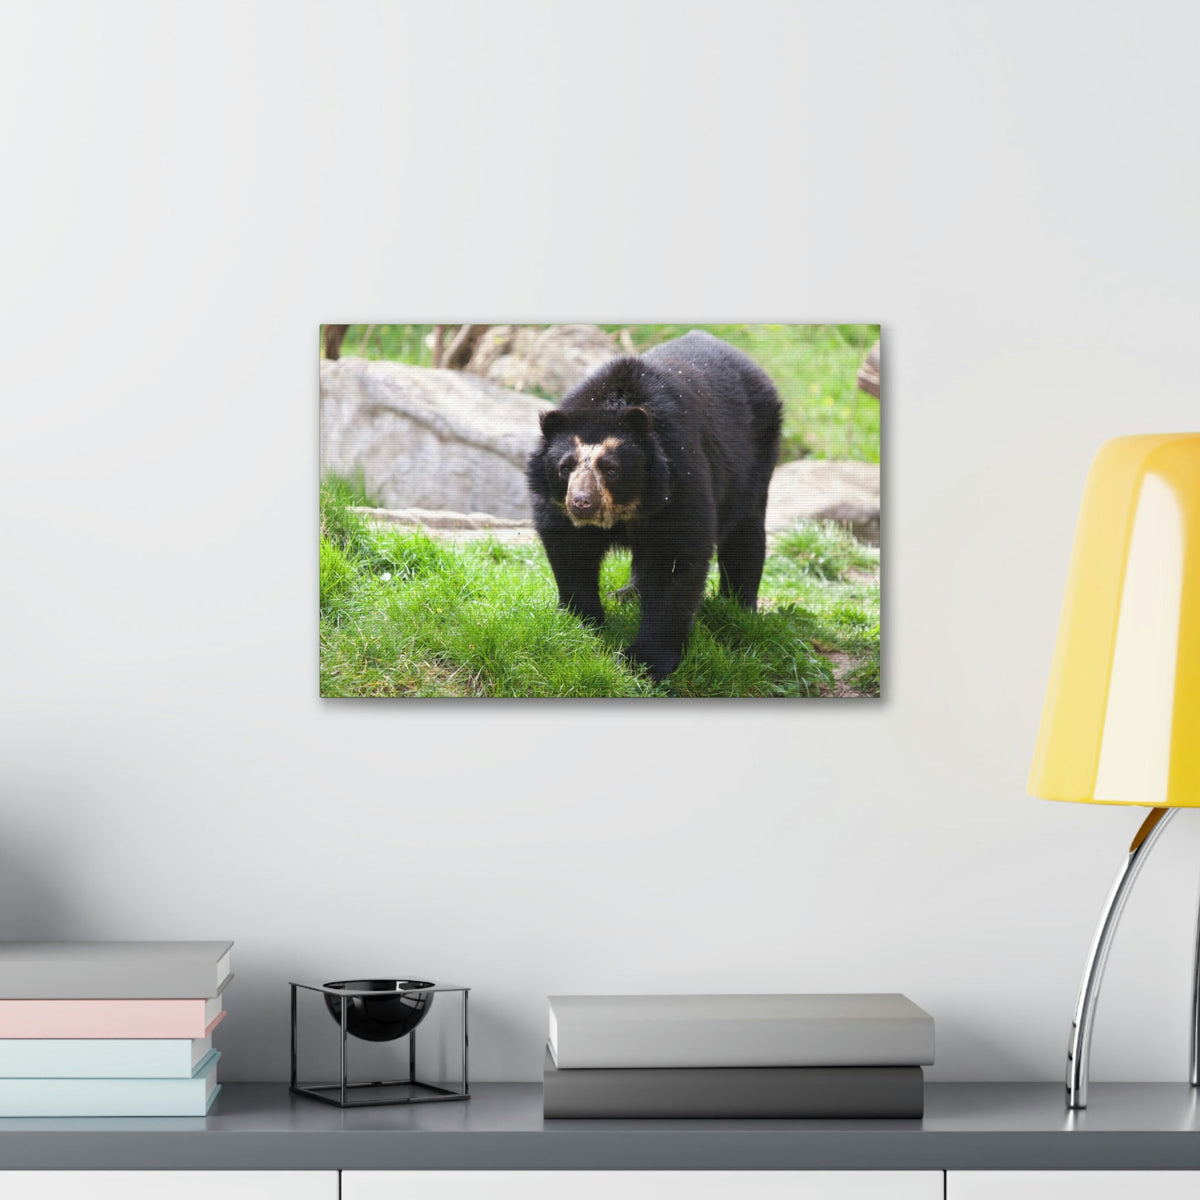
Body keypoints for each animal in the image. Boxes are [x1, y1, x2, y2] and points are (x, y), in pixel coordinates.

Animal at [526, 330, 782, 682]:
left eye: (611, 469)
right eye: (565, 467)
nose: (581, 503)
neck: (627, 507)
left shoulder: (678, 479)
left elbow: (676, 558)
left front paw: (645, 662)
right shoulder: (557, 507)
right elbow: (571, 552)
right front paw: (580, 622)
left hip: (754, 458)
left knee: (745, 534)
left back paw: (738, 608)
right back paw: (627, 594)